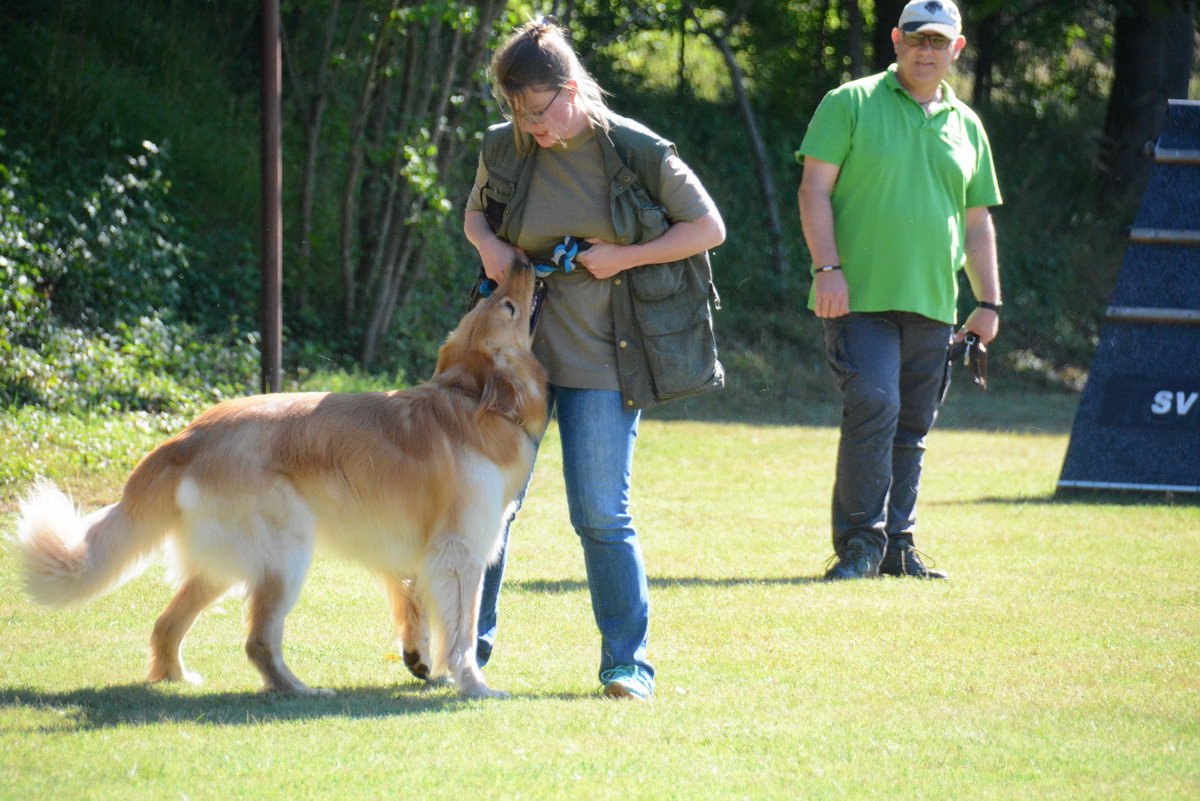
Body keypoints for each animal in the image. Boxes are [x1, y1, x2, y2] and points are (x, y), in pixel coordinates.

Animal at [12, 261, 549, 695]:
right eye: (504, 302)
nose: (522, 261)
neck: (471, 397)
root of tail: (187, 436)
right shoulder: (459, 553)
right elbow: (460, 633)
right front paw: (474, 685)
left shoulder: (410, 549)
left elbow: (412, 599)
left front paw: (419, 658)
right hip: (285, 554)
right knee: (257, 641)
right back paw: (299, 689)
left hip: (225, 565)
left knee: (166, 624)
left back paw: (175, 677)